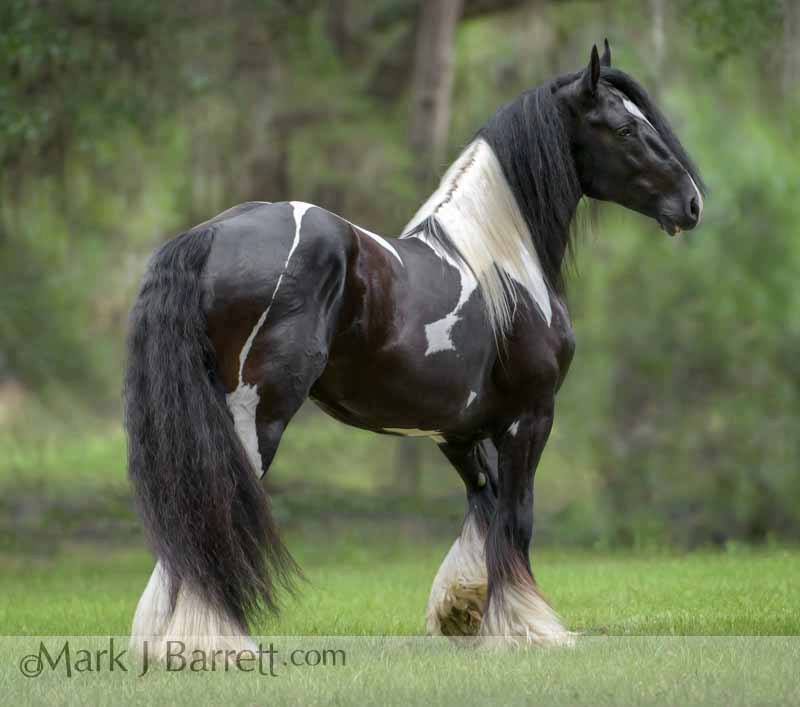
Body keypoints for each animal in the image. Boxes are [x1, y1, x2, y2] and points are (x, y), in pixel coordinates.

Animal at [123, 40, 700, 660]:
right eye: (624, 128)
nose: (691, 203)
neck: (499, 262)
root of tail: (209, 235)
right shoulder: (530, 417)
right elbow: (516, 517)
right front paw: (528, 627)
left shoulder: (456, 432)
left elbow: (484, 508)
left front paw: (465, 610)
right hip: (255, 415)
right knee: (216, 511)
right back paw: (213, 642)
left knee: (186, 521)